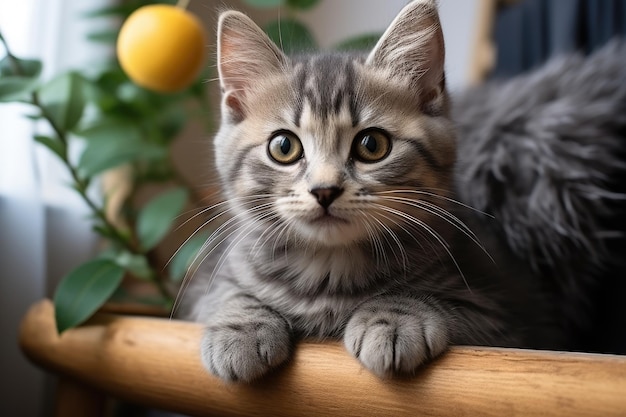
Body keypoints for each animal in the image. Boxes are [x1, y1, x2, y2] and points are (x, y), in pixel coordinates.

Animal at [179, 0, 560, 382]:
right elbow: (223, 292)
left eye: (372, 145)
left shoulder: (504, 314)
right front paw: (240, 326)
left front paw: (395, 317)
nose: (325, 190)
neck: (329, 270)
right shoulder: (205, 285)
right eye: (283, 147)